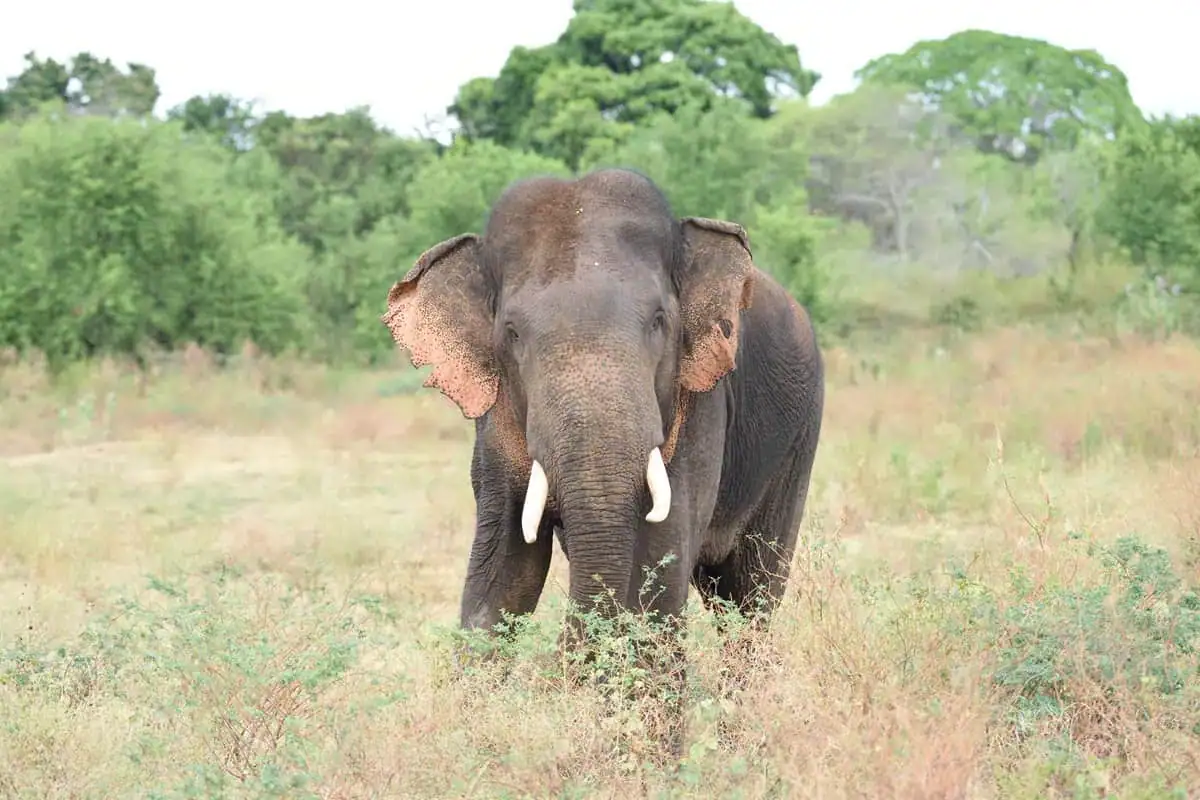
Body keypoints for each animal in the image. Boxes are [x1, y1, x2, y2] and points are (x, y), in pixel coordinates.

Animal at [381, 167, 824, 746]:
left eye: (659, 321)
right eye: (512, 334)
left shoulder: (699, 403)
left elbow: (659, 562)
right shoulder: (496, 417)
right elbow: (504, 570)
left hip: (798, 438)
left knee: (751, 598)